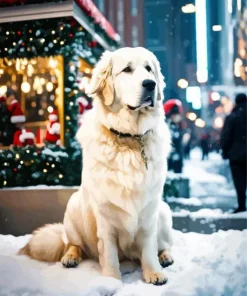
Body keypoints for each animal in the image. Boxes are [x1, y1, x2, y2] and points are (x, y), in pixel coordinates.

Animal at [19, 47, 174, 286]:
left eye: (149, 69)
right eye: (127, 69)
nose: (150, 84)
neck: (130, 139)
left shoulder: (150, 208)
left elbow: (149, 247)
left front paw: (153, 272)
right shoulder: (105, 213)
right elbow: (108, 252)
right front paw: (111, 280)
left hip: (164, 212)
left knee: (163, 245)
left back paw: (165, 257)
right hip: (73, 207)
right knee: (73, 244)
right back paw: (70, 257)